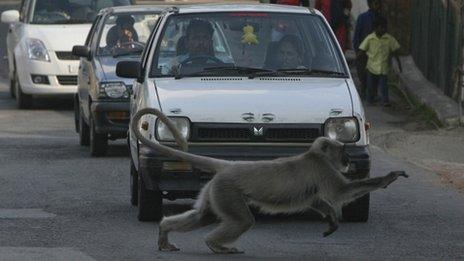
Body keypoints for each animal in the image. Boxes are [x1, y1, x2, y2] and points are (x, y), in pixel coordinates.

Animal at [130, 108, 406, 254]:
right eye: (343, 153)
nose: (348, 161)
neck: (314, 155)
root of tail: (229, 166)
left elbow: (316, 200)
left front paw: (331, 221)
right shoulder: (324, 170)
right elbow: (341, 192)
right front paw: (389, 178)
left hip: (215, 190)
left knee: (202, 216)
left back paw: (166, 231)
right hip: (227, 191)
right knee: (242, 220)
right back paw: (215, 244)